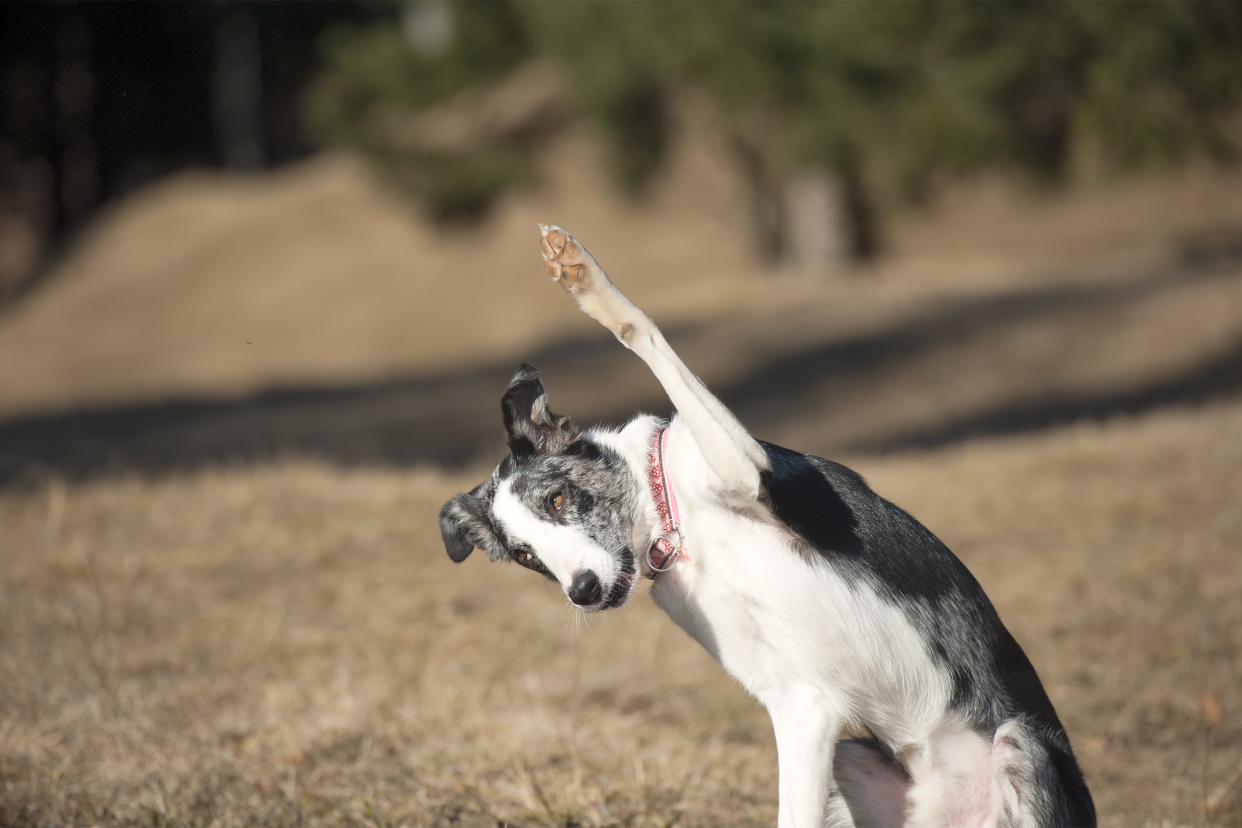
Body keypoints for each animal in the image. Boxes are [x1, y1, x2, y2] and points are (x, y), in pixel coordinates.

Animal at [439, 224, 1097, 828]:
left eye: (556, 498)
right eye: (527, 557)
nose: (583, 592)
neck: (678, 522)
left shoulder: (747, 470)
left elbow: (641, 331)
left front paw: (584, 279)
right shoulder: (801, 706)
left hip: (1020, 747)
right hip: (850, 762)